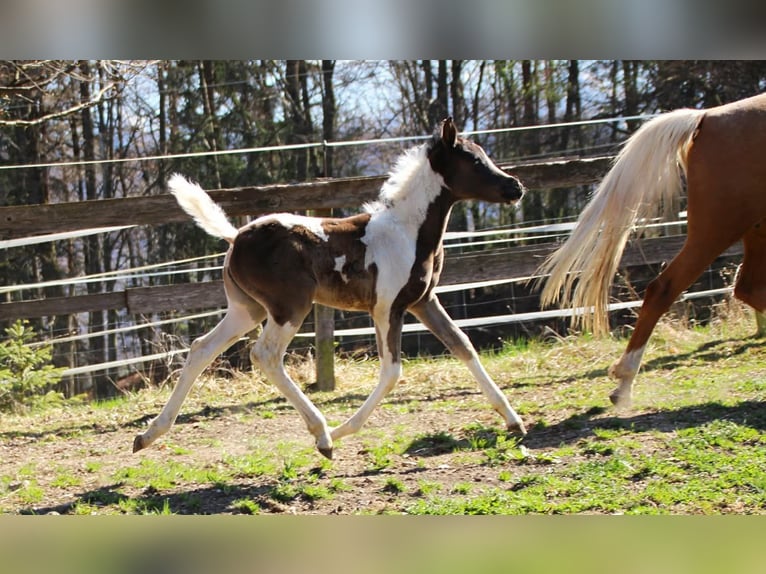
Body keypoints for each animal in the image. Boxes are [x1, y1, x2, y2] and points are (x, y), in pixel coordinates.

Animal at [133, 117, 527, 459]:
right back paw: (323, 435)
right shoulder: (387, 309)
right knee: (265, 355)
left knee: (201, 349)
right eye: (473, 160)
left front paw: (514, 421)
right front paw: (342, 430)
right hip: (289, 308)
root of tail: (236, 236)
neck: (408, 231)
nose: (515, 187)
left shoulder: (423, 302)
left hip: (247, 309)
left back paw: (148, 435)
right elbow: (392, 371)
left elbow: (463, 346)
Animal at [537, 92, 766, 408]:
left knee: (747, 288)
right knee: (664, 288)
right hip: (719, 227)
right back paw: (623, 383)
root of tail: (706, 117)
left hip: (753, 227)